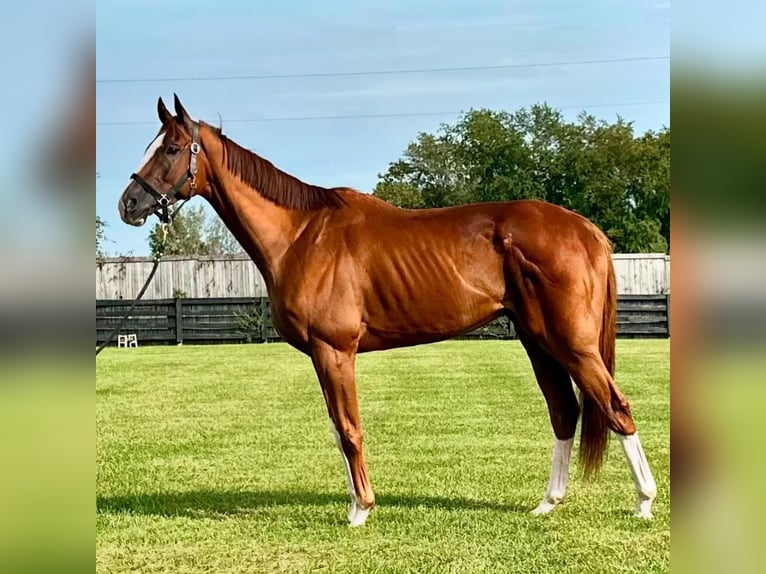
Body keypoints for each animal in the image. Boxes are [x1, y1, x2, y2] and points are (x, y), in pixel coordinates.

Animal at [117, 95, 656, 532]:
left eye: (170, 149)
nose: (129, 203)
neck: (302, 235)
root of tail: (586, 230)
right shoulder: (323, 356)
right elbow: (339, 431)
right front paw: (357, 503)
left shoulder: (334, 350)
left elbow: (349, 429)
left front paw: (360, 510)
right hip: (536, 339)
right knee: (564, 411)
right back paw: (548, 503)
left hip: (571, 343)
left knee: (616, 407)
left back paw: (644, 503)